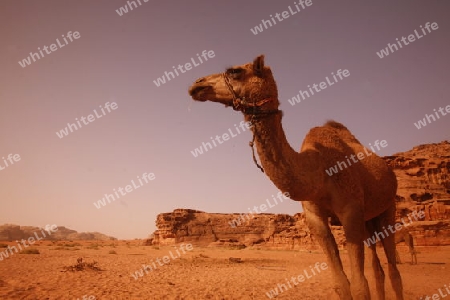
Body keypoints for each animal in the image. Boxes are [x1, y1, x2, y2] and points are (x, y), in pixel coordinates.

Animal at [189, 55, 404, 298]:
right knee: (378, 269)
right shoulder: (314, 215)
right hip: (369, 220)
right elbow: (340, 283)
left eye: (235, 71)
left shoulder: (351, 210)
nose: (197, 84)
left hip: (388, 208)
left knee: (393, 270)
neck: (319, 171)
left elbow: (360, 285)